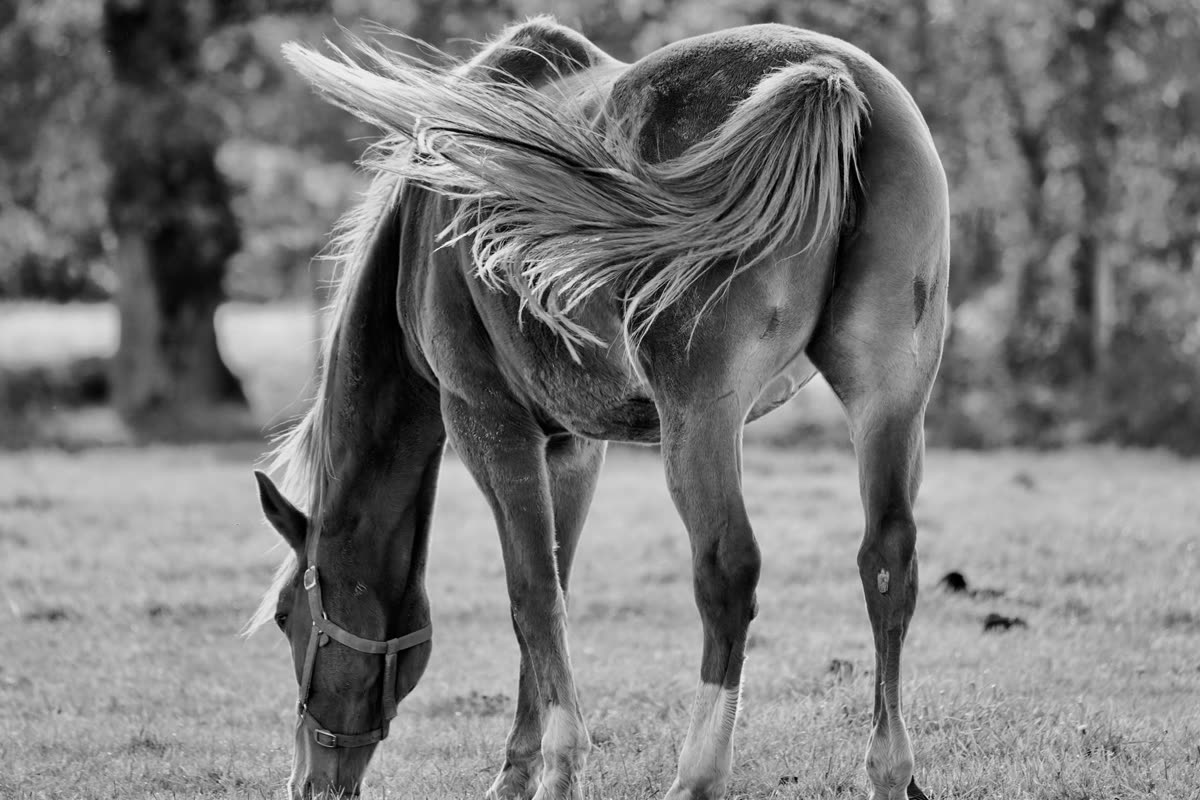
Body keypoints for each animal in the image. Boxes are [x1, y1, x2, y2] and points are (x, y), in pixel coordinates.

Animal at [248, 16, 949, 800]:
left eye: (287, 616)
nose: (308, 779)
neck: (423, 238)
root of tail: (831, 78)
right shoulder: (574, 447)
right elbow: (556, 588)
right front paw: (520, 769)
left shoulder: (489, 425)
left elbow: (531, 595)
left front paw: (555, 768)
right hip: (890, 399)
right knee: (887, 560)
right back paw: (889, 769)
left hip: (699, 420)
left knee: (727, 569)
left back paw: (698, 773)